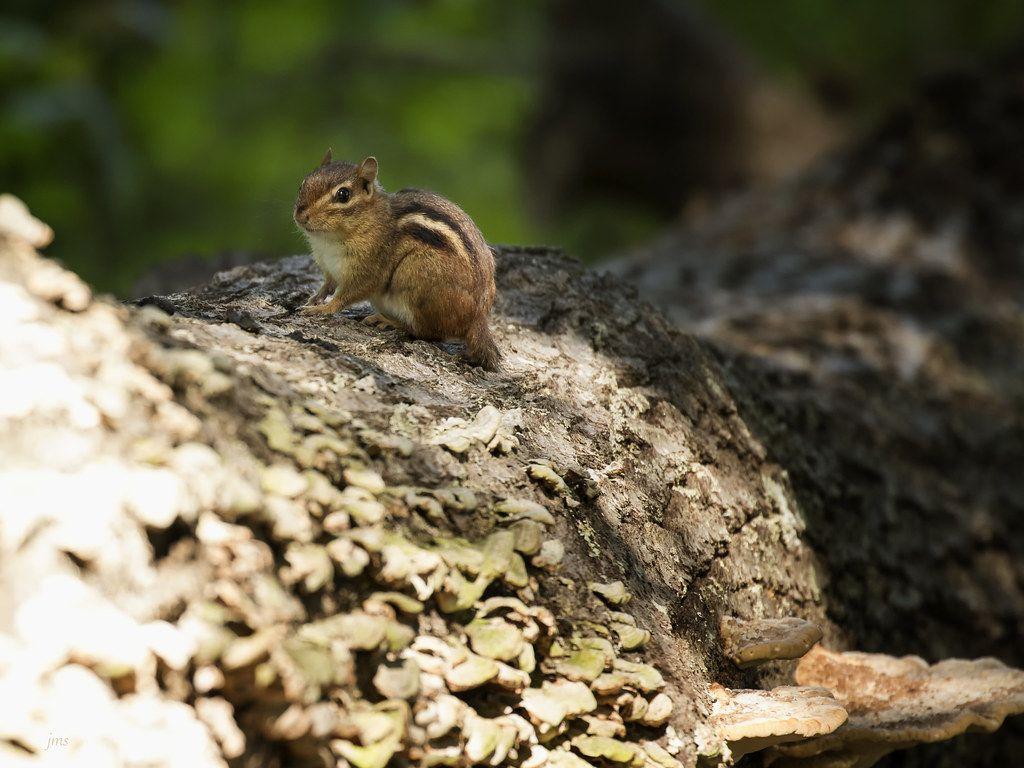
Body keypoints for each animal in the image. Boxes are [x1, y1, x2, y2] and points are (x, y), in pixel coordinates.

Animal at [293, 151, 501, 371]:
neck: (328, 241)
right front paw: (314, 298)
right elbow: (327, 284)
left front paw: (322, 309)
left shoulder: (370, 269)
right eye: (303, 183)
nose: (300, 215)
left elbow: (347, 295)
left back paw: (388, 321)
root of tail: (478, 319)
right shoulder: (327, 266)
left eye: (343, 195)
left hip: (413, 273)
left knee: (428, 332)